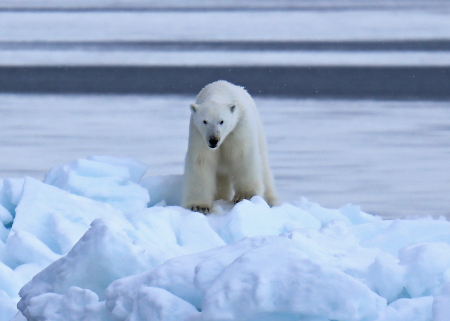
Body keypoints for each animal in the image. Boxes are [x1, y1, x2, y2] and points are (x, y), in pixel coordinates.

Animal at [181, 80, 276, 214]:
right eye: (204, 121)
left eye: (222, 121)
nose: (213, 140)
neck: (218, 92)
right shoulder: (199, 134)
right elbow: (201, 162)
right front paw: (199, 206)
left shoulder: (238, 128)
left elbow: (243, 156)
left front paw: (245, 195)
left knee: (264, 169)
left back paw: (270, 200)